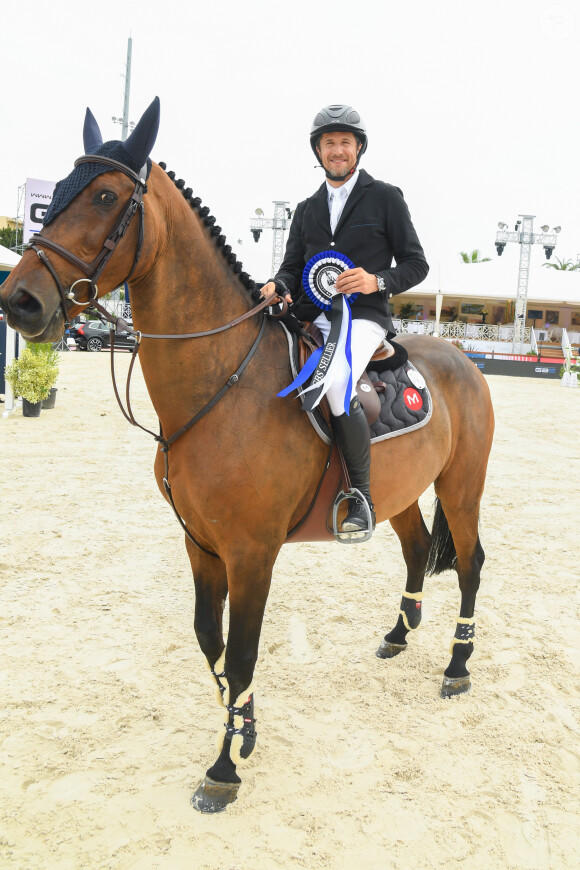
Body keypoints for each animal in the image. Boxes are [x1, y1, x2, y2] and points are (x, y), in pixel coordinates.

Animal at [1, 99, 494, 816]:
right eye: (56, 194)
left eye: (104, 197)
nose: (19, 301)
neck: (221, 384)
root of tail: (461, 356)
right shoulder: (201, 545)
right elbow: (211, 641)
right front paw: (246, 729)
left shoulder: (251, 551)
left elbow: (240, 652)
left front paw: (223, 769)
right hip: (400, 493)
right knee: (413, 549)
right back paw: (399, 635)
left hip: (462, 485)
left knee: (470, 563)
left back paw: (457, 666)